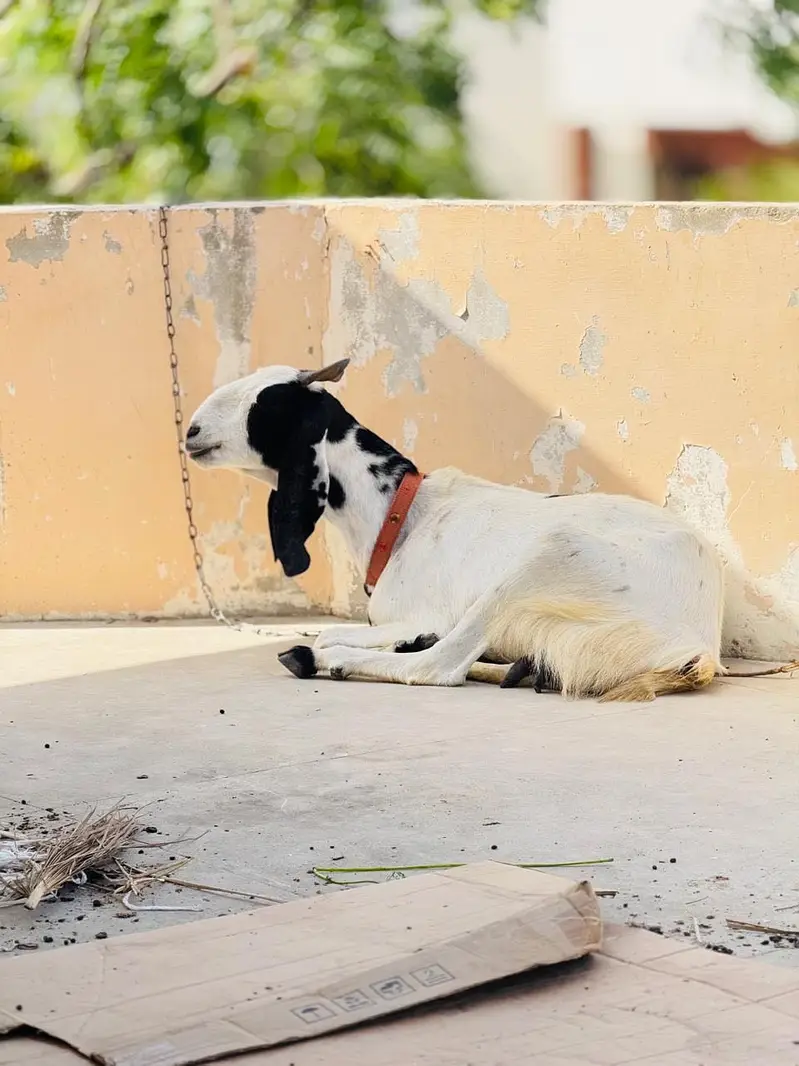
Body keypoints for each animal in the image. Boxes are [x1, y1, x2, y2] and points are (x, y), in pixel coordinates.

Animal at [185, 359, 724, 701]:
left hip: (549, 553)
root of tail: (698, 644)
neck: (401, 515)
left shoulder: (428, 611)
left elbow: (333, 632)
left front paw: (337, 649)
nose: (191, 430)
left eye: (263, 404)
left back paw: (324, 660)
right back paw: (521, 670)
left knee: (439, 665)